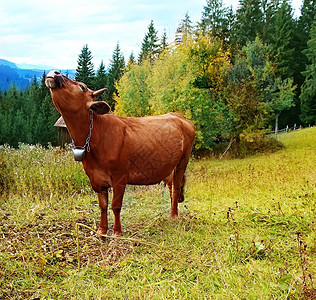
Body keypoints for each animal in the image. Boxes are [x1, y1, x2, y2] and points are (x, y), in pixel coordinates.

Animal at [45, 69, 195, 236]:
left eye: (82, 87)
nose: (54, 72)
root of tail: (179, 116)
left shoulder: (120, 176)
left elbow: (115, 206)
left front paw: (117, 232)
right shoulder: (95, 178)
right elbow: (103, 205)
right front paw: (102, 230)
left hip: (183, 161)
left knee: (176, 187)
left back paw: (174, 216)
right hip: (169, 166)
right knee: (171, 186)